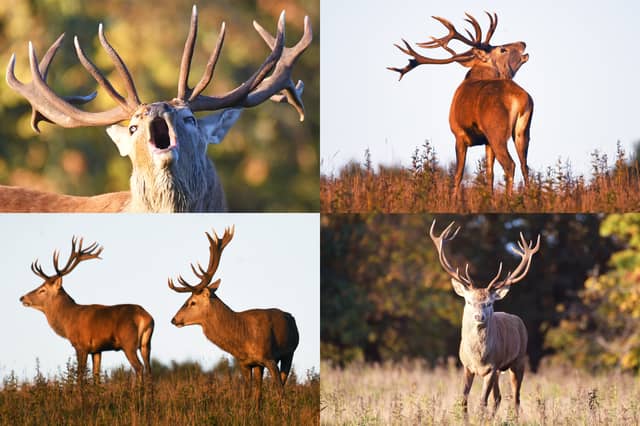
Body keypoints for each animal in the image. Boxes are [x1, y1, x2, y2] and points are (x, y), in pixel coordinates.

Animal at [19, 237, 154, 384]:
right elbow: (96, 377)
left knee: (139, 368)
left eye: (42, 290)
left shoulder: (81, 345)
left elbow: (80, 375)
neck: (68, 320)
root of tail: (146, 317)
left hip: (128, 343)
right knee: (149, 369)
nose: (22, 297)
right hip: (146, 344)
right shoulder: (97, 350)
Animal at [167, 226, 299, 403]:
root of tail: (291, 318)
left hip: (289, 353)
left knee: (281, 385)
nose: (174, 319)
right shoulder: (245, 363)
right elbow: (249, 394)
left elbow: (279, 391)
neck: (243, 339)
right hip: (261, 365)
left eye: (192, 302)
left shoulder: (269, 357)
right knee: (259, 393)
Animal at [389, 13, 533, 197]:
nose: (523, 42)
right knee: (524, 165)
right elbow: (489, 174)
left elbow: (458, 174)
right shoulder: (486, 141)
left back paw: (510, 200)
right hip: (522, 131)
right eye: (502, 49)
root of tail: (520, 97)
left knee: (510, 165)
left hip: (497, 131)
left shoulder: (458, 134)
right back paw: (529, 197)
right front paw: (489, 198)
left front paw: (454, 199)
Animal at [429, 220, 540, 415]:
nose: (479, 316)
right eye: (469, 301)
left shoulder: (492, 367)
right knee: (499, 397)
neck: (478, 358)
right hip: (500, 370)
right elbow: (463, 400)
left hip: (518, 360)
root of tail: (518, 320)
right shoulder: (466, 366)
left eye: (489, 303)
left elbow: (481, 403)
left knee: (516, 399)